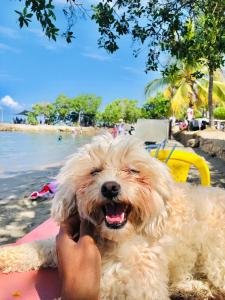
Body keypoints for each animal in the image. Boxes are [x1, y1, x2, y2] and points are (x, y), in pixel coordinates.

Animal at [0, 136, 225, 300]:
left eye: (132, 170)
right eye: (94, 171)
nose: (110, 187)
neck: (115, 240)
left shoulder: (143, 285)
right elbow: (38, 247)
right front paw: (6, 255)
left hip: (215, 255)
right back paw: (192, 288)